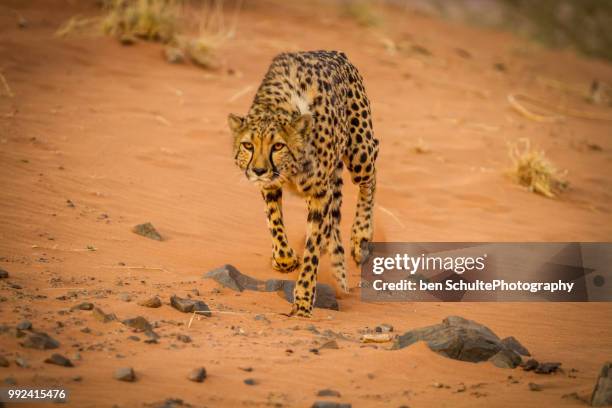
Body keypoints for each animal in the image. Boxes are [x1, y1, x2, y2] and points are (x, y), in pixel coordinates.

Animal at [228, 51, 378, 318]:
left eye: (278, 146)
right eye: (248, 145)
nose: (258, 170)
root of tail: (334, 53)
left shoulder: (319, 193)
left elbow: (312, 249)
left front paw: (304, 299)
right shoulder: (271, 186)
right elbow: (275, 221)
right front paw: (285, 259)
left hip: (360, 151)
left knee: (370, 177)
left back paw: (360, 238)